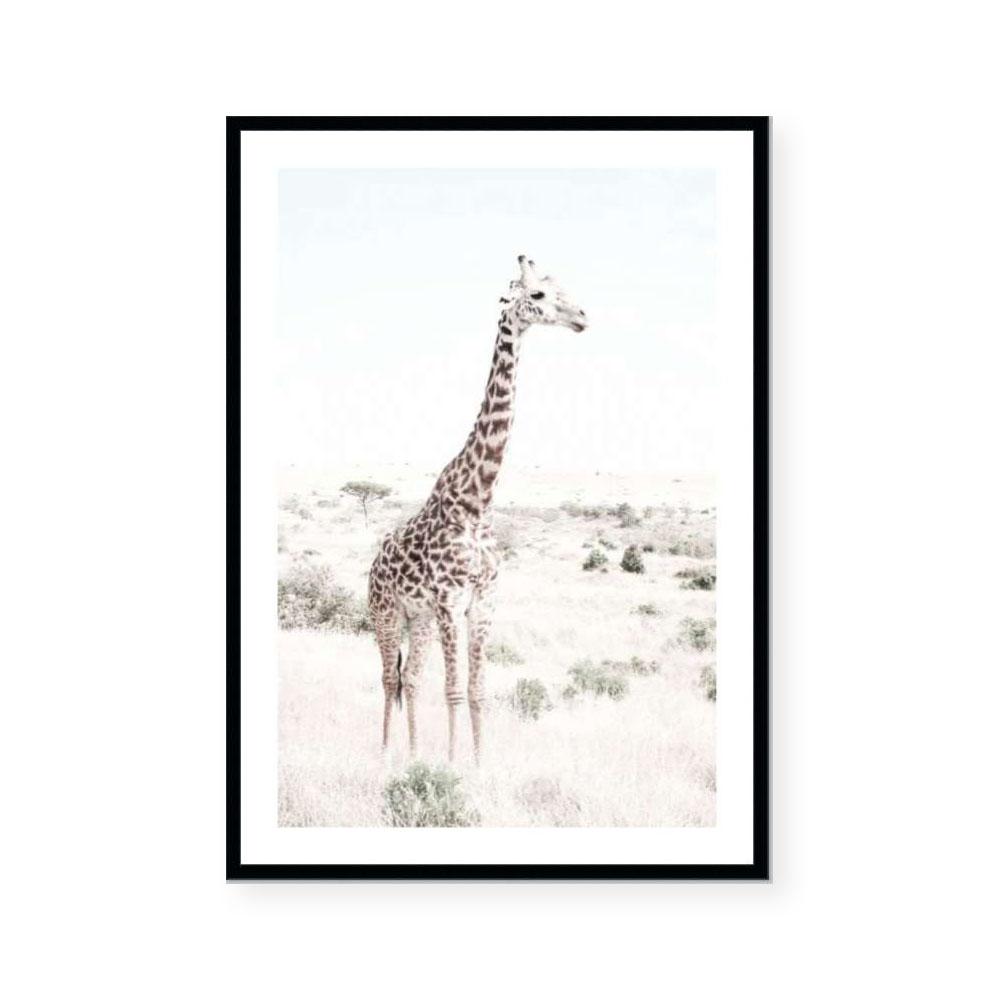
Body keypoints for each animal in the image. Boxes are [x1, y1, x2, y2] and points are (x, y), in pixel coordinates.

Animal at [367, 255, 588, 762]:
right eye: (539, 295)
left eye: (562, 288)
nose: (582, 317)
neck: (478, 500)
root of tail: (372, 563)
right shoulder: (451, 601)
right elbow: (453, 689)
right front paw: (451, 763)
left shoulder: (483, 603)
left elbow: (477, 690)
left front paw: (479, 762)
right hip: (385, 613)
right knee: (388, 678)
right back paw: (386, 754)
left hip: (418, 619)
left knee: (410, 677)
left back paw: (413, 752)